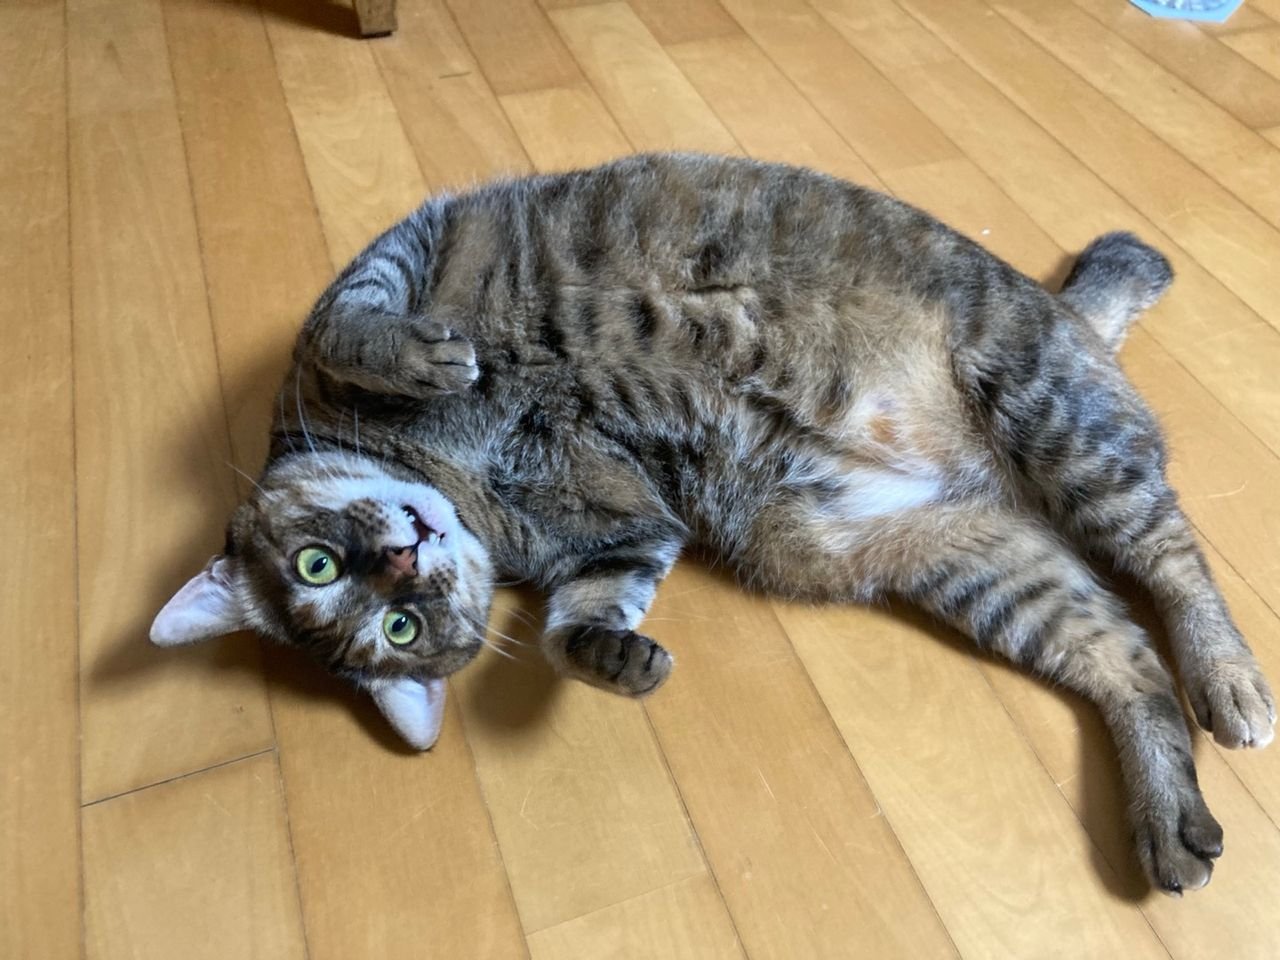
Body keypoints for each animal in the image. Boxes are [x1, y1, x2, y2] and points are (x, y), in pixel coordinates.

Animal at [150, 153, 1273, 895]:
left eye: (318, 564)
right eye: (395, 628)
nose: (402, 556)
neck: (455, 472)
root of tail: (1065, 313)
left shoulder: (386, 265)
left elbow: (350, 325)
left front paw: (426, 357)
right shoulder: (623, 531)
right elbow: (572, 628)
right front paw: (614, 657)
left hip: (1052, 415)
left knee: (1171, 558)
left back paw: (1228, 682)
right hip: (962, 562)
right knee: (1122, 656)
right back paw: (1170, 819)